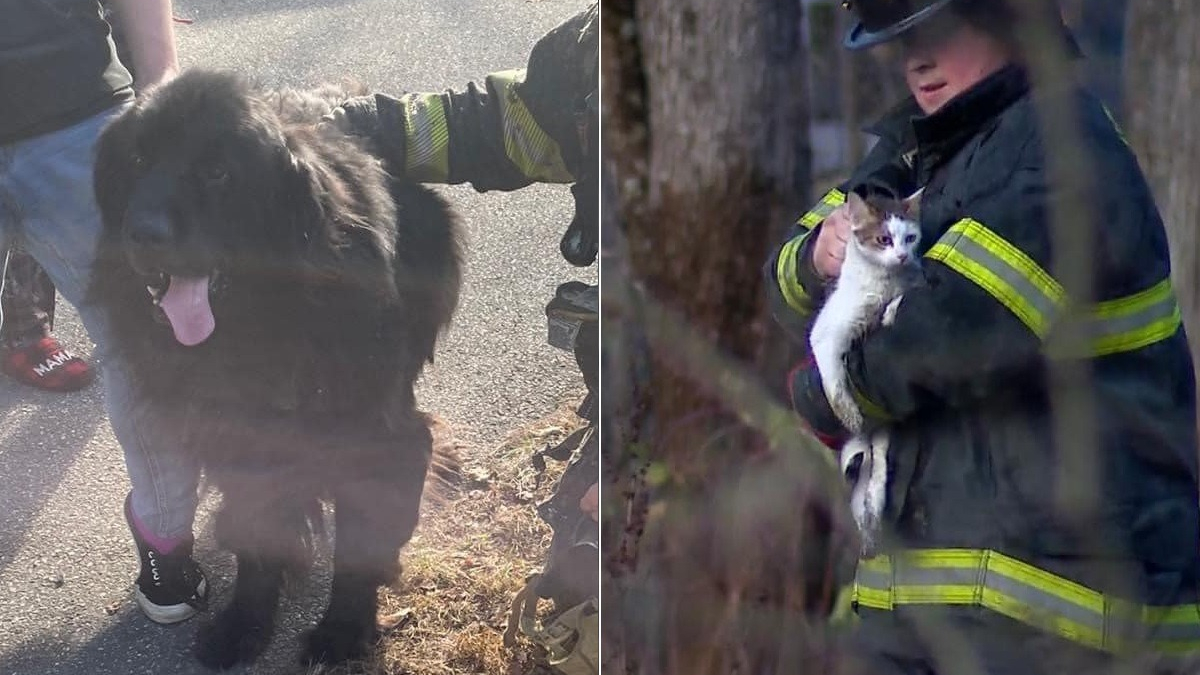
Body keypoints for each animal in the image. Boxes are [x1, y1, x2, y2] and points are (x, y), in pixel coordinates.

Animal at [87, 69, 463, 667]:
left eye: (218, 172)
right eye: (139, 161)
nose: (140, 233)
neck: (261, 328)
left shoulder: (382, 439)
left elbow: (360, 544)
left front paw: (343, 631)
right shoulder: (238, 443)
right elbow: (256, 533)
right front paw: (244, 623)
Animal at [806, 187, 926, 552]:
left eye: (910, 238)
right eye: (883, 239)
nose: (901, 255)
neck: (882, 283)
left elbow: (902, 301)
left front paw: (891, 311)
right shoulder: (826, 332)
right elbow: (832, 380)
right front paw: (847, 412)